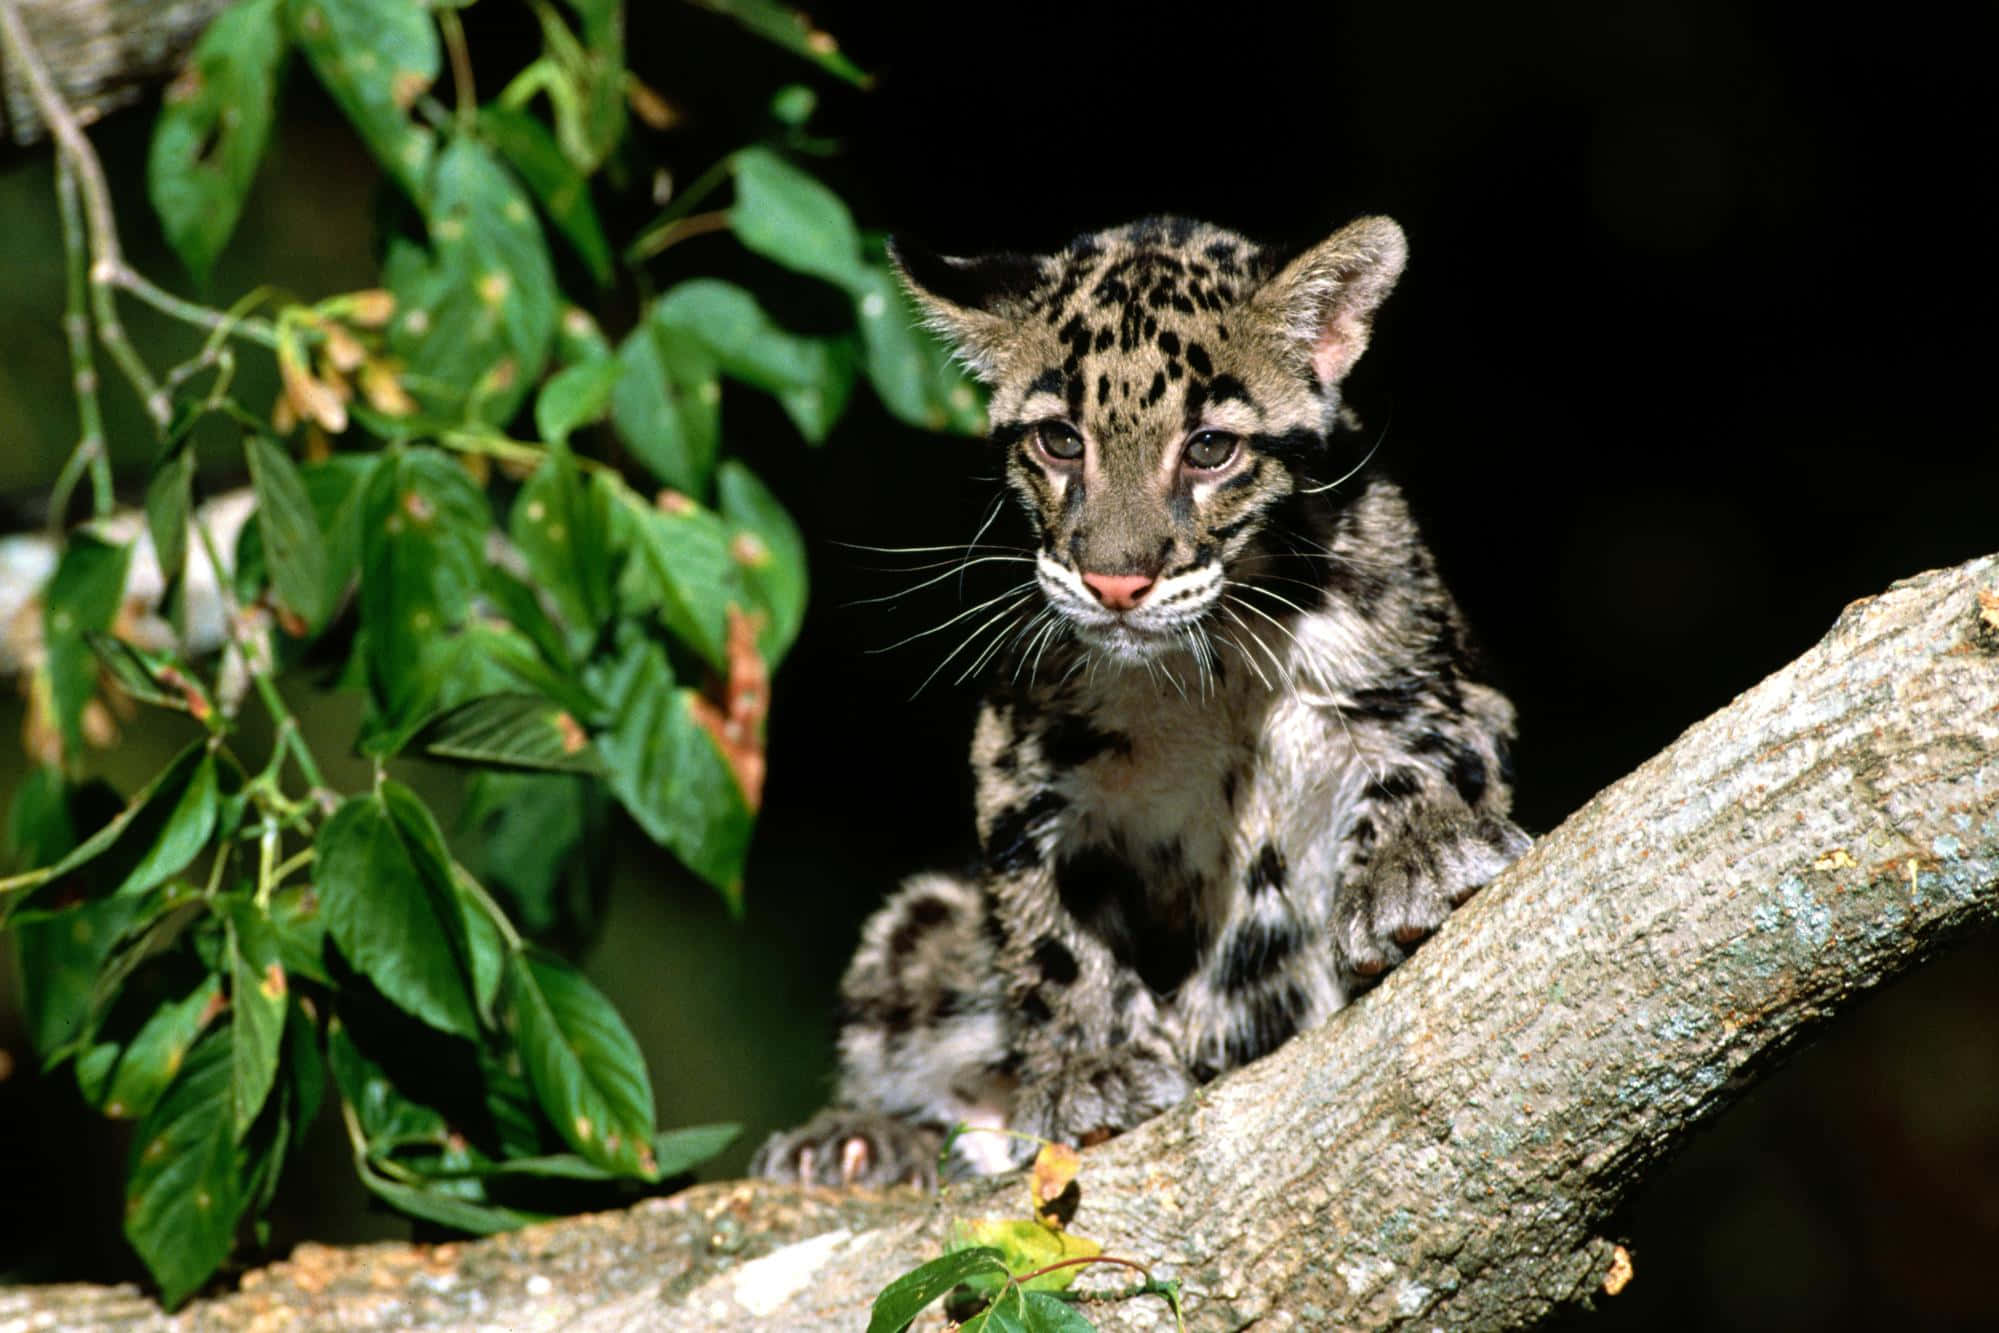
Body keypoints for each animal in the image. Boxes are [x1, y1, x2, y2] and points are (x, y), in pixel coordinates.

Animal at [751, 215, 1530, 1188]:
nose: (1114, 582)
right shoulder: (1021, 765)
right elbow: (1045, 926)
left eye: (1209, 449)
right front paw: (1091, 1066)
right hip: (921, 926)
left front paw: (1413, 861)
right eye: (1058, 441)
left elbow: (1430, 754)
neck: (1212, 667)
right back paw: (858, 1139)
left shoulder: (1439, 680)